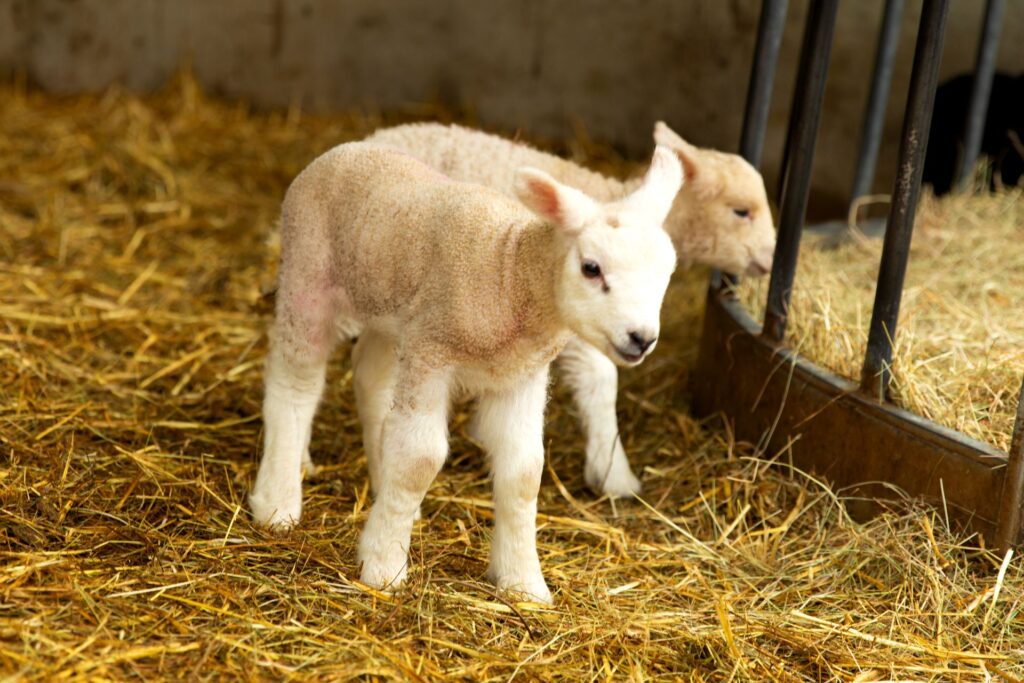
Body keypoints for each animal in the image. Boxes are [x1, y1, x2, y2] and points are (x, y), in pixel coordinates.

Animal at [249, 142, 683, 603]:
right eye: (591, 268)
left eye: (666, 274)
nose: (642, 338)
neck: (509, 274)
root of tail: (348, 148)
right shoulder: (432, 352)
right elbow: (420, 458)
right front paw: (383, 567)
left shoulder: (519, 375)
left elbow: (525, 471)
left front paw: (523, 582)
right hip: (307, 274)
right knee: (295, 382)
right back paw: (278, 500)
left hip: (392, 312)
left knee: (370, 378)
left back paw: (383, 483)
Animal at [364, 121, 776, 497]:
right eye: (741, 212)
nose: (772, 259)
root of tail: (371, 138)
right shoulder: (576, 316)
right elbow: (601, 379)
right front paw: (614, 474)